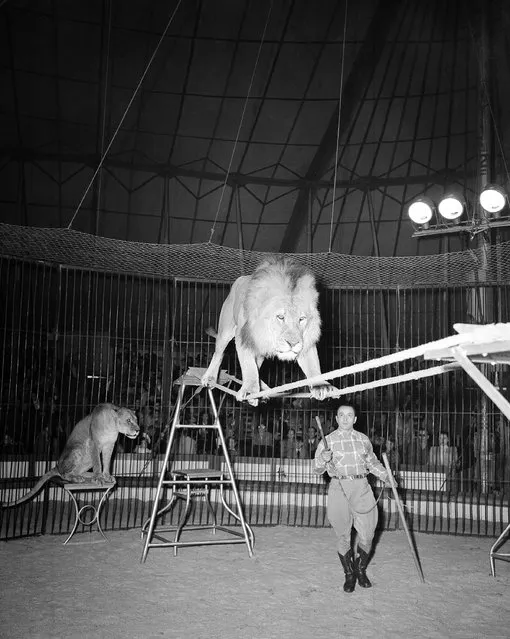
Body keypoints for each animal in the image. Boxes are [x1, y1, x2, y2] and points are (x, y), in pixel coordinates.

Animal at [2, 408, 139, 508]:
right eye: (128, 420)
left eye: (136, 420)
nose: (138, 430)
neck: (113, 427)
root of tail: (57, 466)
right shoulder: (94, 444)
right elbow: (98, 463)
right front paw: (99, 478)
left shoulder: (109, 445)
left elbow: (106, 462)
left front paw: (106, 476)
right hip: (79, 448)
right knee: (64, 475)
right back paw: (78, 478)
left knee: (78, 471)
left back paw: (84, 476)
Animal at [201, 255, 336, 404]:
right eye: (280, 317)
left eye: (301, 319)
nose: (293, 344)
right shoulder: (244, 336)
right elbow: (249, 366)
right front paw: (249, 389)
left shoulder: (306, 341)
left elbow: (313, 364)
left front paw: (320, 385)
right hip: (225, 330)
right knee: (218, 354)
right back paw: (210, 377)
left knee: (257, 366)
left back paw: (263, 389)